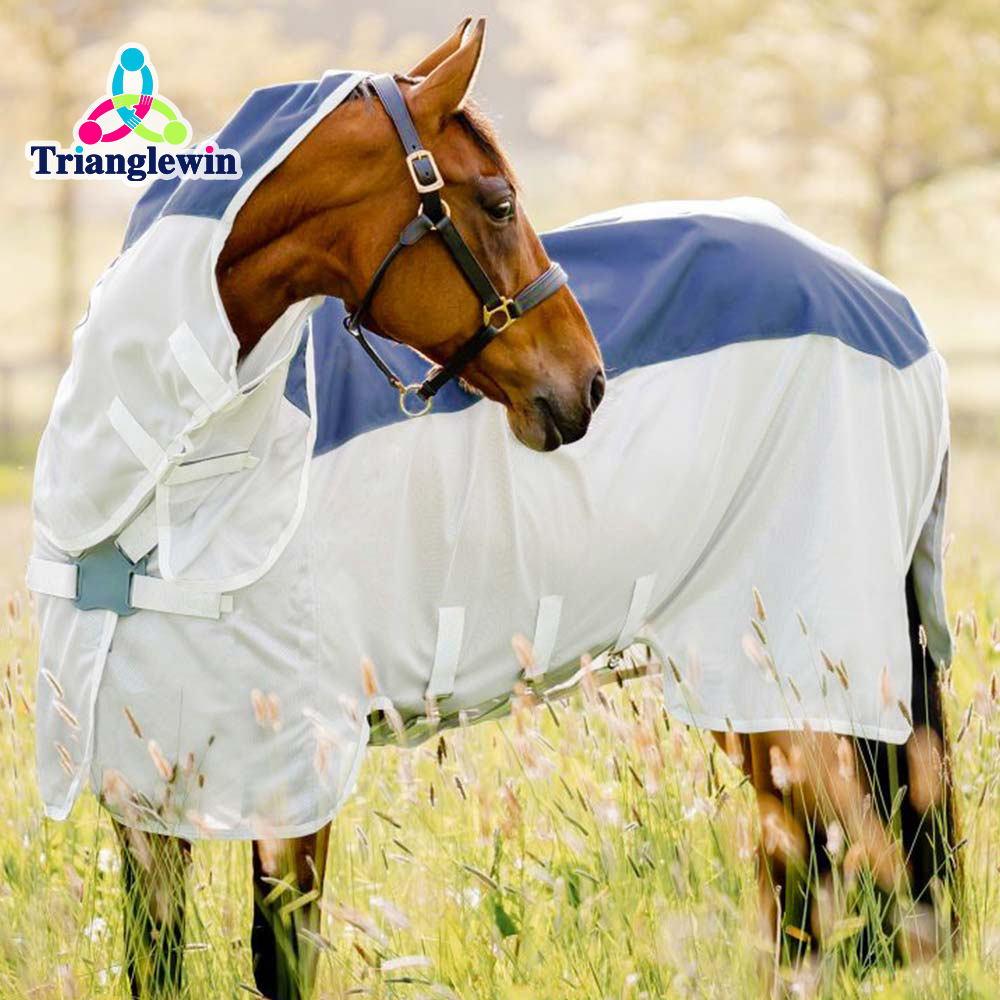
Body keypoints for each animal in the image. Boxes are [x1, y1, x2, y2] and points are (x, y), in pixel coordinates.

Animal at [27, 18, 957, 1000]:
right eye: (501, 202)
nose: (588, 382)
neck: (157, 485)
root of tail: (891, 312)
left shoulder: (290, 781)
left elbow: (279, 956)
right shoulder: (140, 792)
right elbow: (156, 957)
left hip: (793, 684)